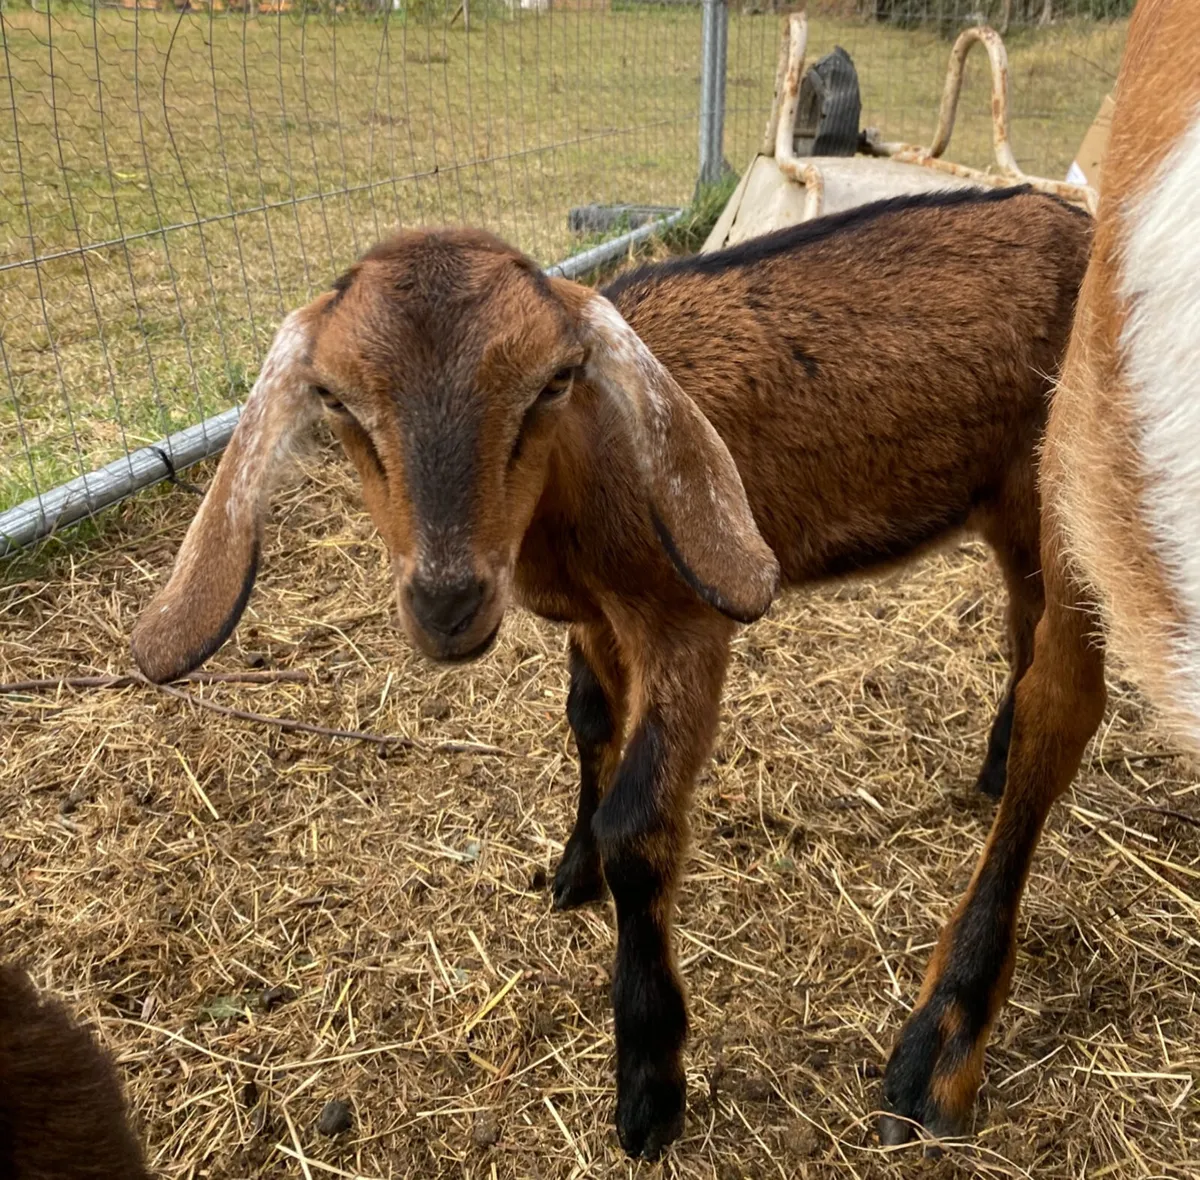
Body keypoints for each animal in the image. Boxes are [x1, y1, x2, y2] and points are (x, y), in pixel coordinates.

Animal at [131, 185, 1090, 1158]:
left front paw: (648, 1080)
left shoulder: (686, 623)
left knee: (1056, 690)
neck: (588, 470)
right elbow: (588, 722)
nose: (447, 603)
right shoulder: (595, 619)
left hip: (1049, 505)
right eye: (333, 399)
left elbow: (639, 820)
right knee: (1025, 635)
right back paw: (994, 762)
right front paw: (572, 869)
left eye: (555, 381)